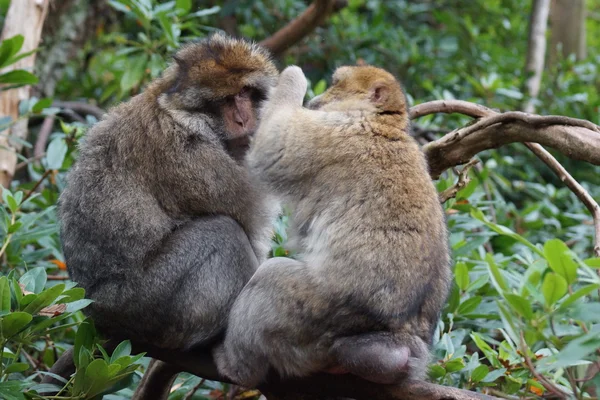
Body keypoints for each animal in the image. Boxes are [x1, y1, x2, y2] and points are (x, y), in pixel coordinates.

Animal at [58, 34, 278, 354]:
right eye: (225, 100)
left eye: (245, 92)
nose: (243, 120)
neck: (178, 111)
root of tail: (96, 309)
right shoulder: (190, 157)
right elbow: (254, 217)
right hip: (147, 300)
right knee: (223, 233)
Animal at [213, 65, 452, 388]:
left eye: (335, 84)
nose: (317, 99)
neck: (383, 122)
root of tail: (399, 337)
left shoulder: (331, 131)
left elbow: (274, 143)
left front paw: (292, 75)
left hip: (314, 316)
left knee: (272, 276)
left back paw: (236, 367)